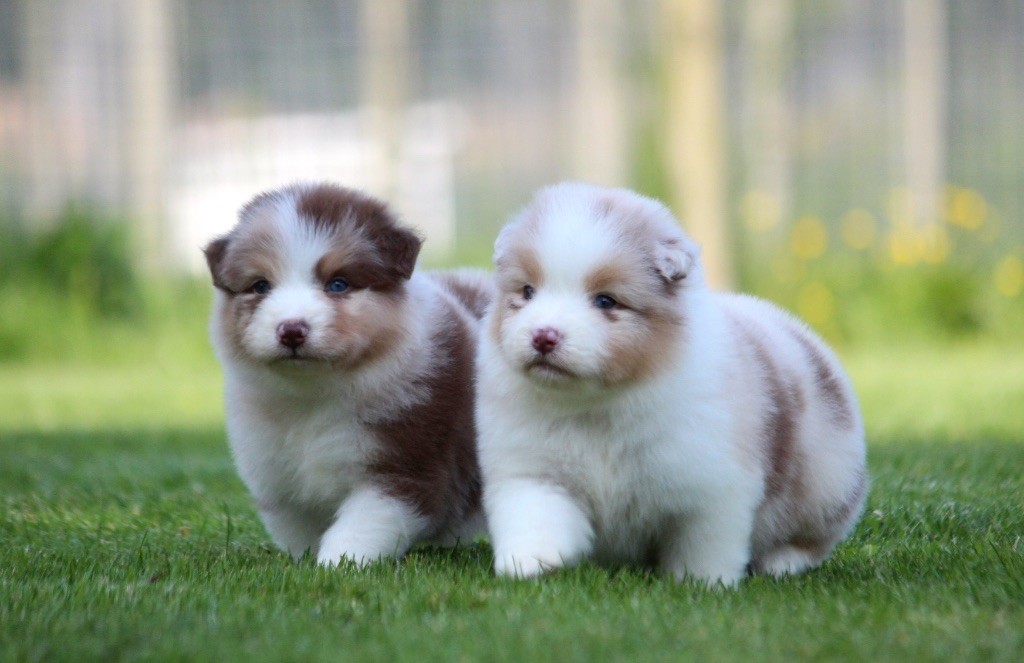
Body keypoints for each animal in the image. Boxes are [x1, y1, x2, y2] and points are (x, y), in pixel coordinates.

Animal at [201, 181, 489, 565]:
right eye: (261, 286)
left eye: (337, 284)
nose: (291, 330)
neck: (313, 398)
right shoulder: (278, 476)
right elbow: (298, 529)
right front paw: (304, 563)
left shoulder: (404, 468)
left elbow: (358, 529)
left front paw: (337, 566)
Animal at [477, 181, 864, 586]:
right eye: (527, 292)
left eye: (605, 301)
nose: (543, 336)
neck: (596, 407)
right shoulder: (533, 472)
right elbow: (537, 516)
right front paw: (529, 563)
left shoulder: (708, 489)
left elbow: (704, 543)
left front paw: (702, 582)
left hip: (826, 483)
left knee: (810, 539)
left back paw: (781, 563)